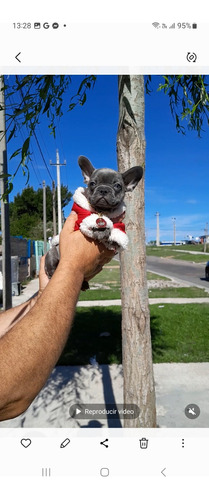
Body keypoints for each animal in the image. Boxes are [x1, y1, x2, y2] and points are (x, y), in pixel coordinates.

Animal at [44, 154, 143, 284]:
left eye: (117, 186)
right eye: (92, 183)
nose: (103, 190)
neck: (102, 211)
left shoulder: (119, 224)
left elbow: (116, 231)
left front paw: (112, 240)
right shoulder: (80, 221)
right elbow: (94, 224)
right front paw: (102, 231)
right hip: (52, 254)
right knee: (50, 266)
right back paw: (52, 273)